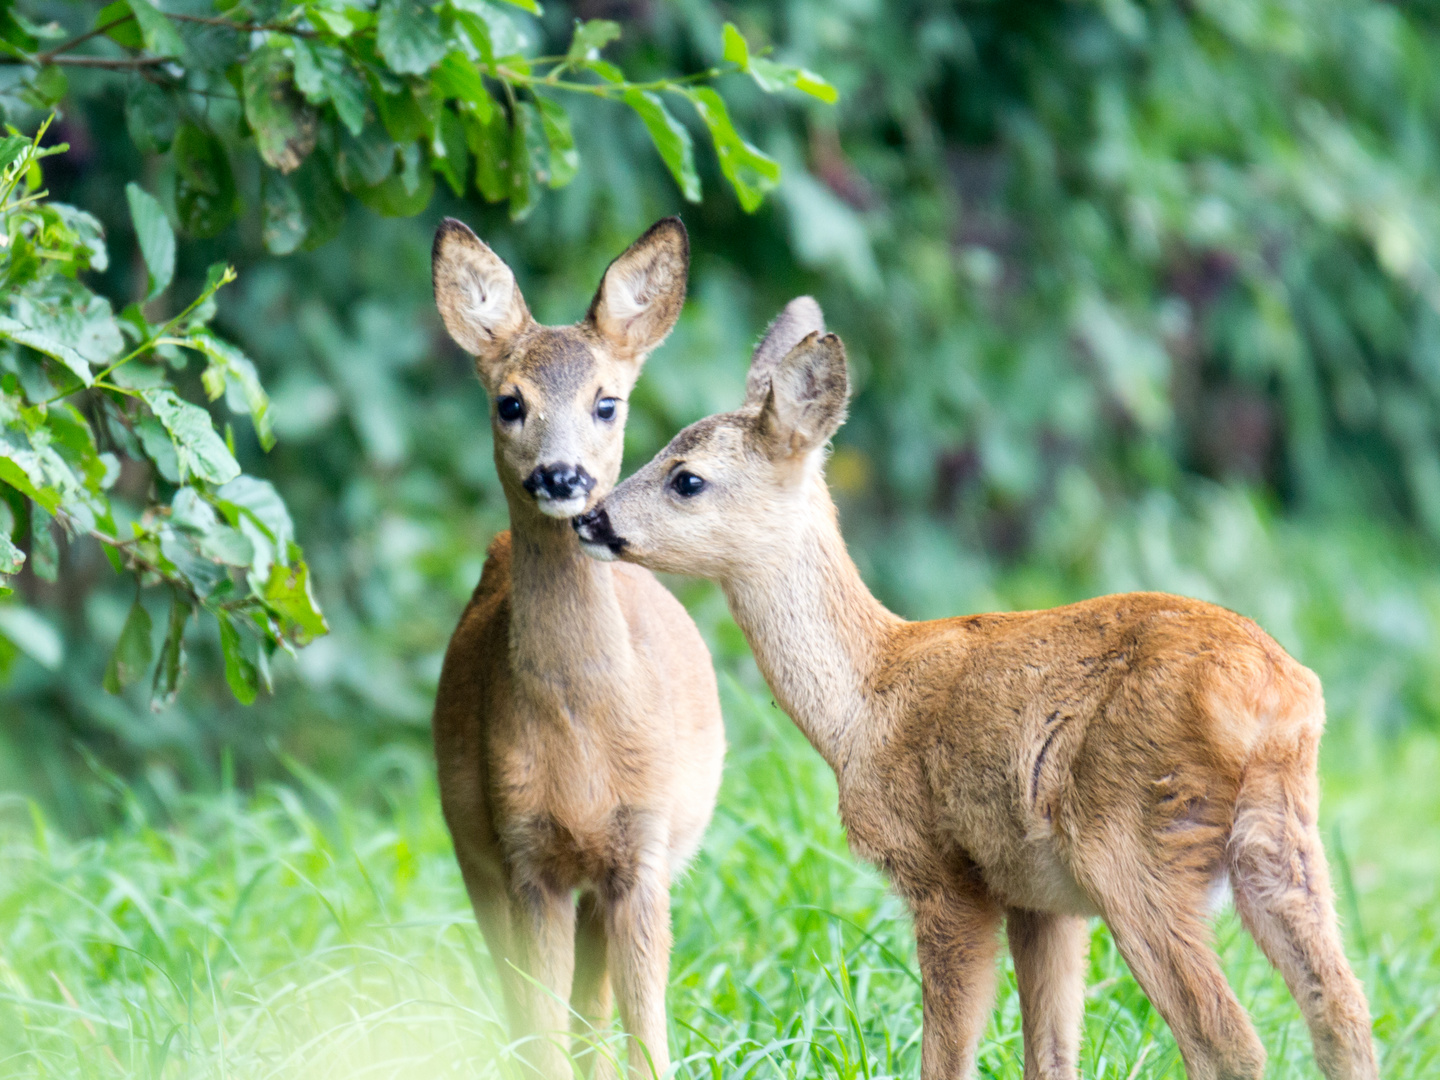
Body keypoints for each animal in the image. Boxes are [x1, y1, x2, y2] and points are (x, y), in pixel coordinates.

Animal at [423, 217, 720, 1080]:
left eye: (607, 402)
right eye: (509, 402)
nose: (561, 476)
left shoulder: (644, 851)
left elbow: (645, 1035)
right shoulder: (524, 851)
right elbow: (540, 1028)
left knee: (595, 1011)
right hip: (471, 844)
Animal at [573, 300, 1370, 1080]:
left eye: (686, 477)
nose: (589, 516)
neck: (863, 702)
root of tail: (1279, 691)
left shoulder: (946, 871)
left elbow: (948, 1053)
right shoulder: (1039, 898)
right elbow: (1050, 1054)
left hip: (1131, 838)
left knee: (1225, 1038)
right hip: (1278, 834)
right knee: (1342, 1012)